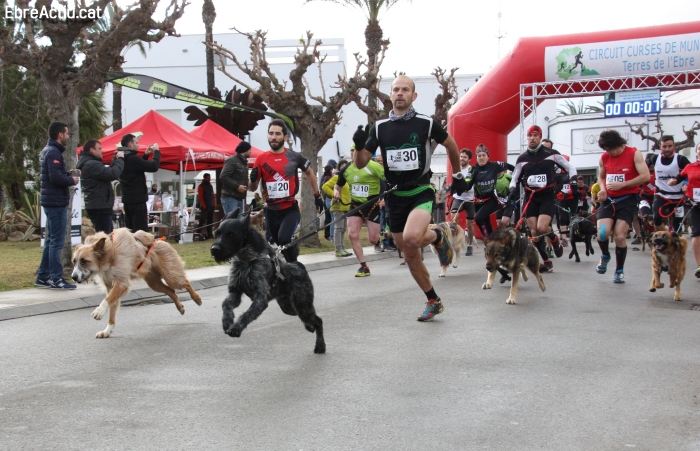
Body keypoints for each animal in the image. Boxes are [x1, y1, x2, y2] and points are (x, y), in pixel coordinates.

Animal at [71, 230, 202, 340]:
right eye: (74, 261)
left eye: (83, 261)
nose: (73, 277)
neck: (110, 251)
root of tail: (159, 240)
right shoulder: (110, 287)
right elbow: (111, 307)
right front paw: (108, 330)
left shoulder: (121, 284)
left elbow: (106, 300)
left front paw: (99, 312)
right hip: (154, 283)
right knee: (171, 291)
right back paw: (180, 307)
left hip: (171, 277)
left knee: (185, 283)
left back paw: (197, 299)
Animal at [209, 210, 326, 354]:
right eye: (217, 233)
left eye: (231, 234)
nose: (214, 249)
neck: (247, 260)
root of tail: (298, 265)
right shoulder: (235, 293)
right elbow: (226, 305)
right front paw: (227, 322)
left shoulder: (260, 298)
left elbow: (248, 314)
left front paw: (236, 328)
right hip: (290, 307)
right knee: (309, 320)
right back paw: (310, 328)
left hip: (303, 305)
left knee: (318, 321)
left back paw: (320, 346)